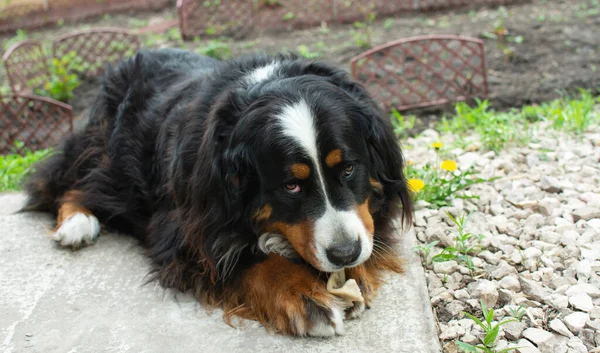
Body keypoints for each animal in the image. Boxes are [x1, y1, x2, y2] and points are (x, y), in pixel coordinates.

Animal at [22, 48, 412, 336]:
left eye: (348, 168)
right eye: (291, 185)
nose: (345, 253)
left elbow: (369, 225)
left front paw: (356, 273)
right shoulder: (184, 229)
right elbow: (243, 262)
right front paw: (304, 296)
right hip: (111, 158)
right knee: (69, 182)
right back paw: (77, 223)